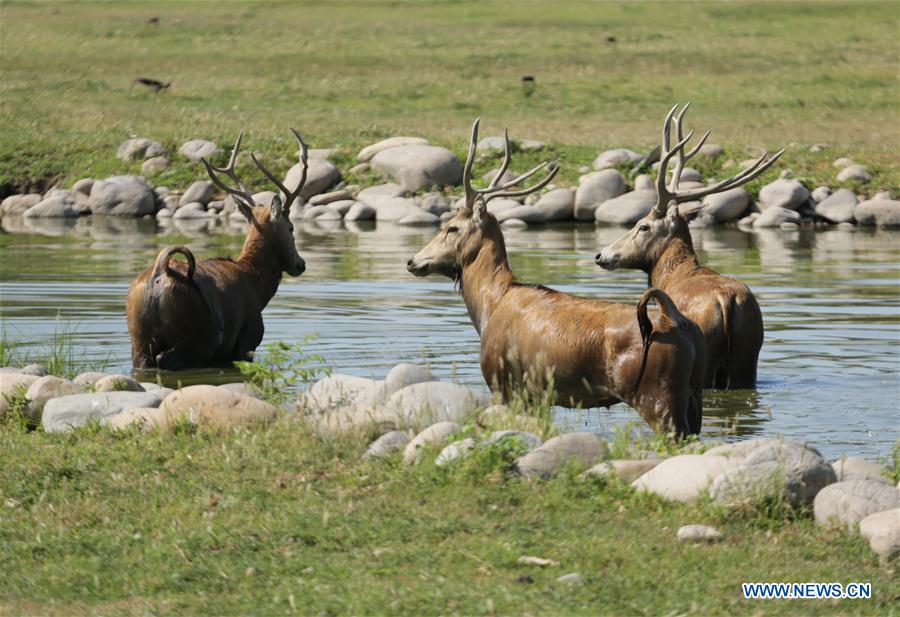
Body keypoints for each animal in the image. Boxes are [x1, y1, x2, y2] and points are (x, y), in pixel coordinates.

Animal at [126, 129, 308, 370]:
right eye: (291, 227)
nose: (300, 263)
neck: (258, 286)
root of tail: (160, 270)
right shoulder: (248, 340)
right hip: (198, 334)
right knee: (167, 359)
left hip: (138, 337)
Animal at [407, 119, 706, 437]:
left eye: (451, 227)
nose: (413, 260)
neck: (488, 307)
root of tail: (681, 324)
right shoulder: (534, 394)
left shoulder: (503, 383)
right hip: (694, 394)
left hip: (657, 396)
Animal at [596, 103, 784, 389]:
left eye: (643, 226)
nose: (601, 255)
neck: (669, 274)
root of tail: (726, 301)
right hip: (748, 353)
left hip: (705, 355)